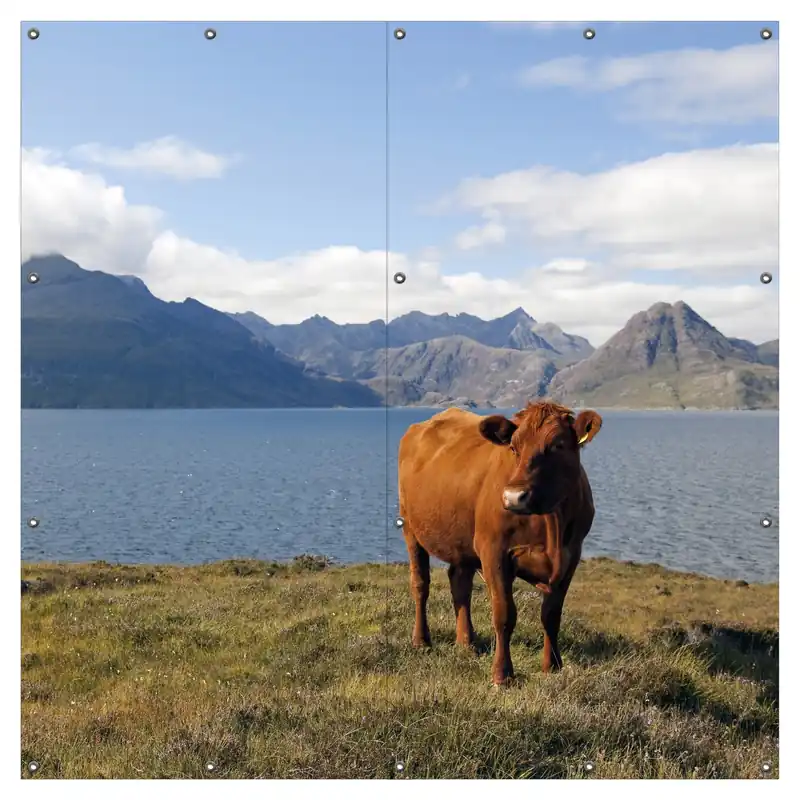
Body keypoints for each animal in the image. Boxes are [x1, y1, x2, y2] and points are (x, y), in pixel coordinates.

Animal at [397, 401, 602, 686]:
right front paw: (502, 674)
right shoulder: (494, 551)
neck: (552, 524)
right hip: (411, 527)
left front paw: (552, 666)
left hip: (462, 543)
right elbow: (504, 614)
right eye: (514, 447)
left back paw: (466, 643)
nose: (514, 497)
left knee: (460, 583)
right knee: (420, 584)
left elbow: (551, 615)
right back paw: (421, 641)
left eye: (558, 445)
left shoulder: (571, 556)